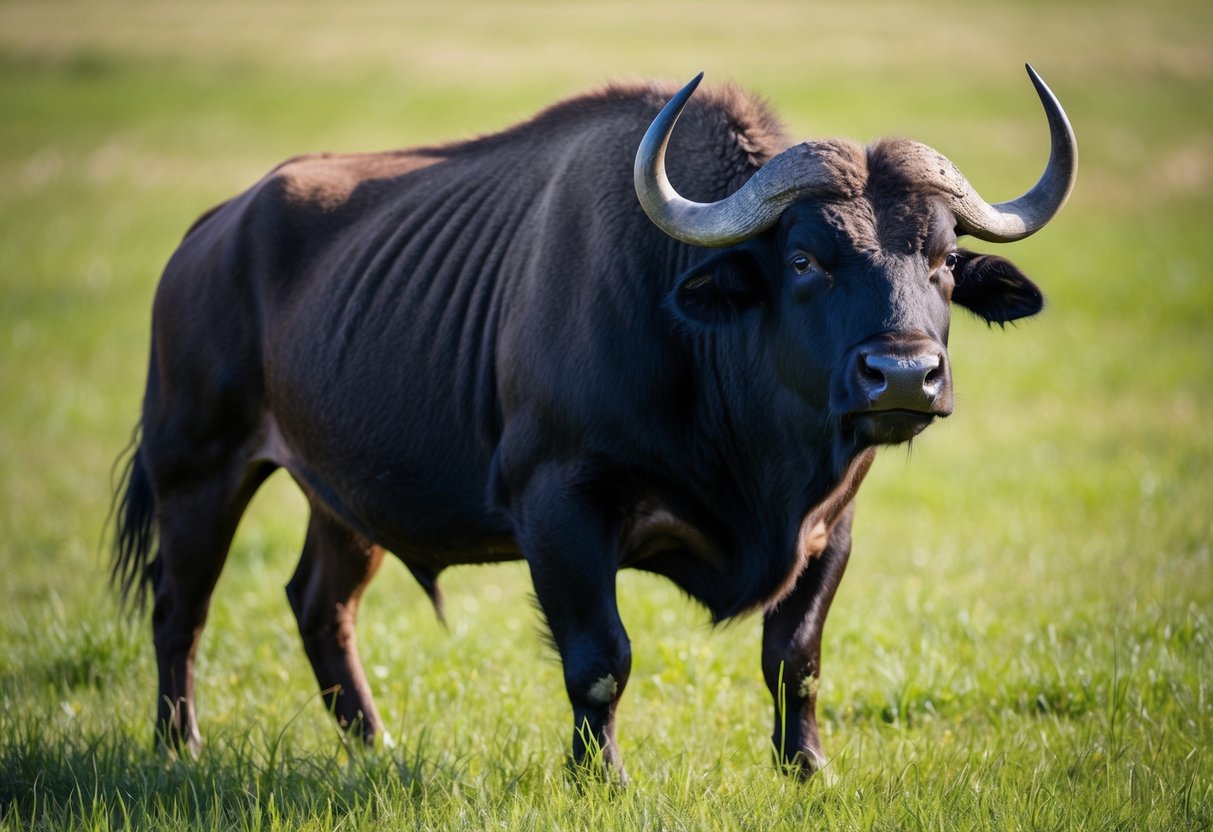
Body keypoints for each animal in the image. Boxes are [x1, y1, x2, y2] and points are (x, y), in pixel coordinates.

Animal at [113, 66, 1076, 780]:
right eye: (805, 258)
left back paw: (375, 745)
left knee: (319, 605)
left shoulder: (830, 524)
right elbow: (599, 657)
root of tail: (211, 232)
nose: (904, 374)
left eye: (943, 260)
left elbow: (794, 657)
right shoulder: (559, 506)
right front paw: (600, 778)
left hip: (340, 501)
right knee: (178, 605)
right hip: (197, 466)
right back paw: (179, 745)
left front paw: (808, 770)